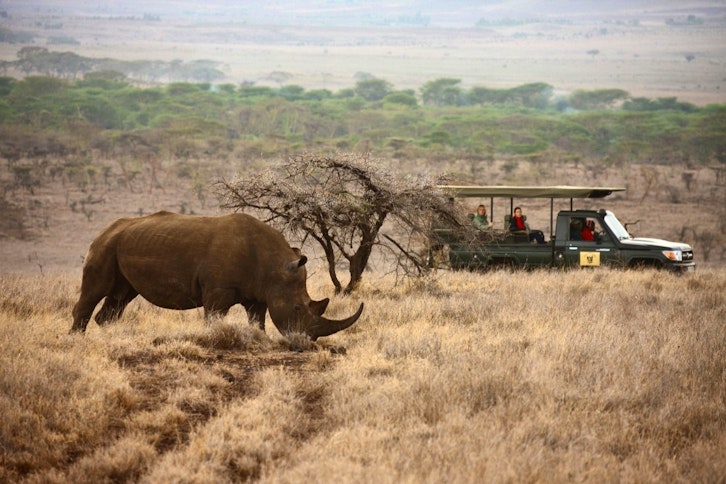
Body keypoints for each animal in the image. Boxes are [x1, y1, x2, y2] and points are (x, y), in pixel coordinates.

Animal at [71, 211, 363, 340]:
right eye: (297, 309)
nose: (308, 342)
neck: (275, 267)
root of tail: (104, 229)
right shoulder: (218, 290)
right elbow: (213, 318)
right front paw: (213, 339)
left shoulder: (259, 293)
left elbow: (257, 320)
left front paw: (261, 340)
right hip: (105, 245)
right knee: (95, 291)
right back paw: (77, 340)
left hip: (124, 244)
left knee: (121, 296)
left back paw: (109, 336)